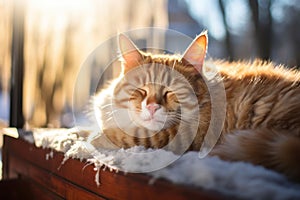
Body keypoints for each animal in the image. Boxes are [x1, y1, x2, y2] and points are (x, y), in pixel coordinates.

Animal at [91, 30, 300, 181]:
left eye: (171, 91)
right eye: (141, 90)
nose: (151, 107)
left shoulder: (179, 137)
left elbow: (126, 137)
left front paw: (92, 137)